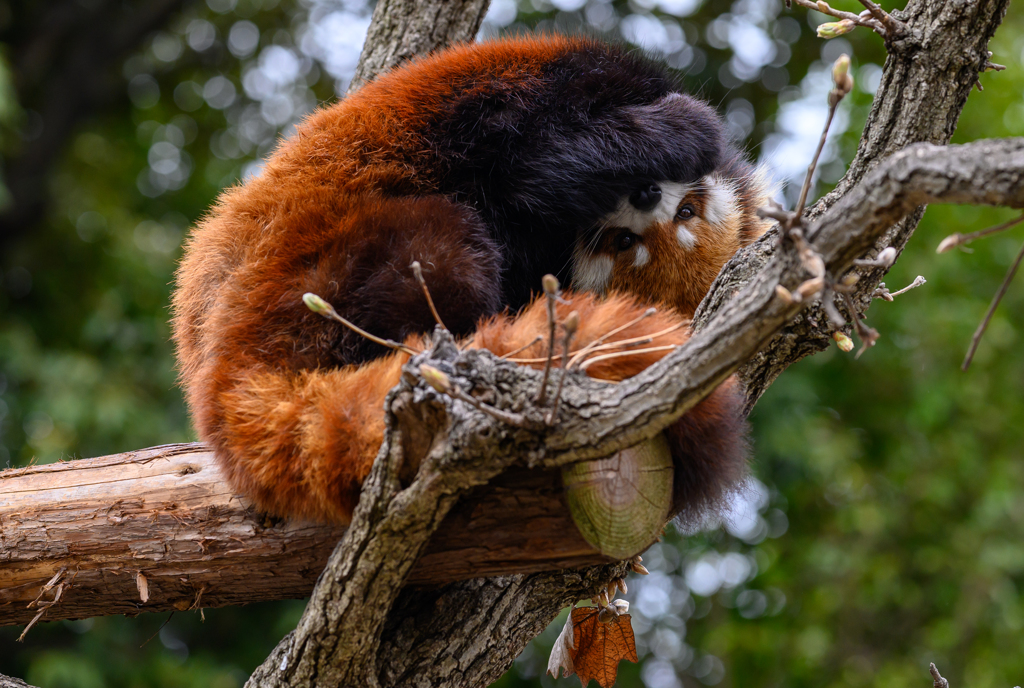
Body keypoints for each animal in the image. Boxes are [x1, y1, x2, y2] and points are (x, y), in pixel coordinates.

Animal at [174, 34, 770, 524]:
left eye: (679, 218)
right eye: (628, 240)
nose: (646, 194)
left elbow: (541, 176)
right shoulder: (552, 88)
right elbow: (540, 164)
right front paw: (688, 126)